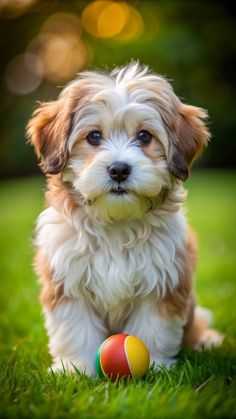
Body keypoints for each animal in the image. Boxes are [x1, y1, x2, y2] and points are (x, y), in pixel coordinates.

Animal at [26, 61, 223, 374]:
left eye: (144, 136)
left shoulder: (163, 281)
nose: (119, 169)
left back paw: (205, 341)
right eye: (94, 136)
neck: (116, 223)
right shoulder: (67, 280)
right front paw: (75, 369)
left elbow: (153, 327)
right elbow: (75, 328)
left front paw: (155, 367)